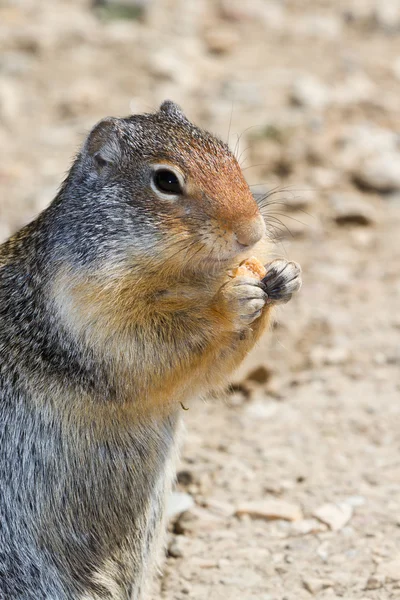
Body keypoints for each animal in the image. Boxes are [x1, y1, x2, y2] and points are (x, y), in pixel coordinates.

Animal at [0, 101, 300, 596]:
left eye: (229, 153)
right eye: (166, 181)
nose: (252, 232)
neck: (186, 277)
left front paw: (284, 274)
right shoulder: (93, 310)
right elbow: (153, 349)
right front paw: (231, 300)